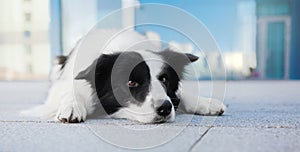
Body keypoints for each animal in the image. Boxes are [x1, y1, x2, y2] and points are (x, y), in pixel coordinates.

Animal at [22, 30, 226, 123]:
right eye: (131, 82)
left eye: (164, 79)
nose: (165, 109)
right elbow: (69, 92)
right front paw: (71, 107)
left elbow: (181, 93)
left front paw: (206, 103)